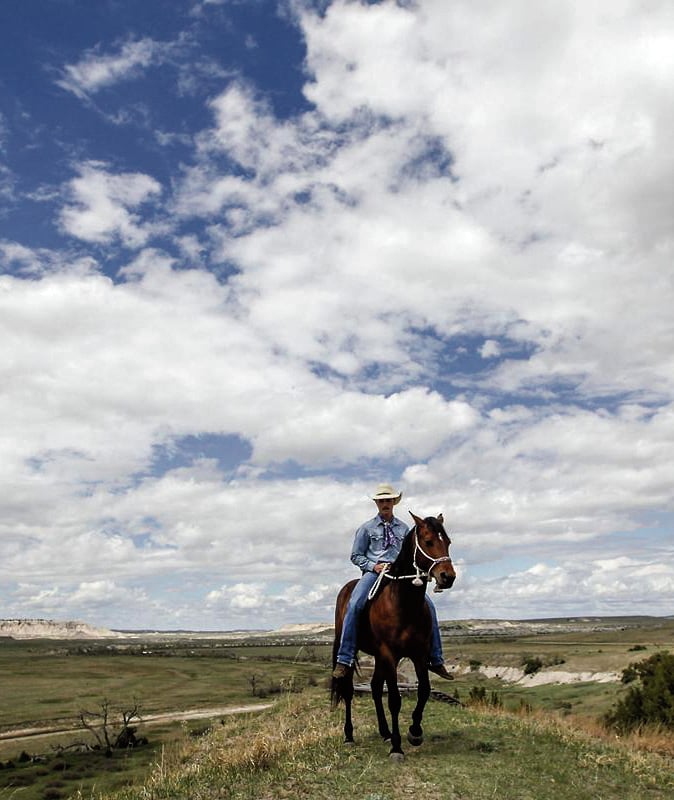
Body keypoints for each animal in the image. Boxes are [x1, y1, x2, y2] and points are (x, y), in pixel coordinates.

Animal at [332, 516, 456, 760]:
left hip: (380, 657)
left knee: (375, 687)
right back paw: (349, 736)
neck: (404, 604)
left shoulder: (418, 654)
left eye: (447, 542)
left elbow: (424, 690)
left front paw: (415, 732)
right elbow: (394, 700)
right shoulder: (390, 654)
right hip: (353, 651)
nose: (448, 577)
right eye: (428, 541)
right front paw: (397, 748)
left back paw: (385, 732)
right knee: (349, 690)